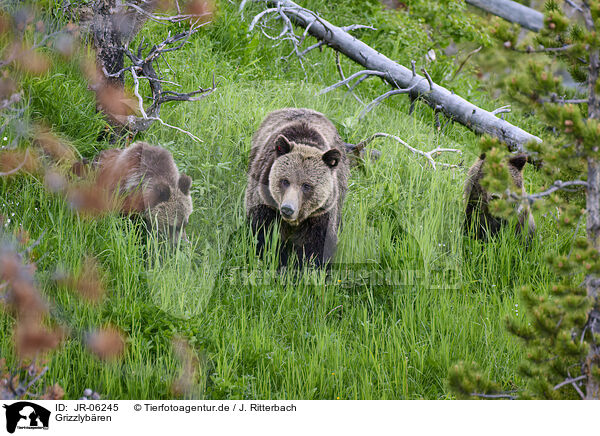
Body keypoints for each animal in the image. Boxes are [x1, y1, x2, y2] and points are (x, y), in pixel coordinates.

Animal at [244, 107, 346, 268]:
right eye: (285, 181)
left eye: (307, 185)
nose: (288, 209)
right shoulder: (266, 202)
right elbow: (264, 236)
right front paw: (278, 262)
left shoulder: (320, 214)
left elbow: (316, 247)